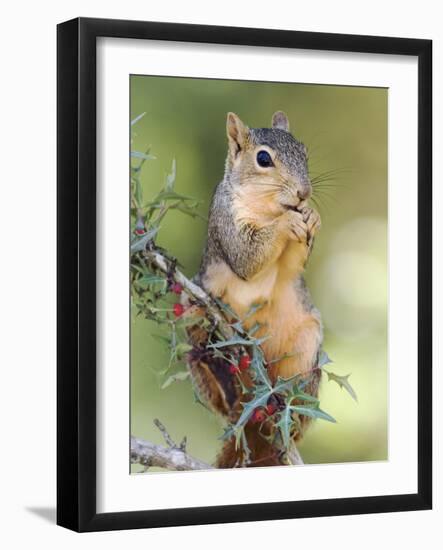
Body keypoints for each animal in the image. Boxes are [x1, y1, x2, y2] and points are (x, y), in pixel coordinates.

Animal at [186, 112, 322, 470]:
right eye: (263, 159)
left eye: (305, 152)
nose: (304, 193)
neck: (269, 208)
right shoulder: (226, 221)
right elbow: (248, 257)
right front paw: (287, 224)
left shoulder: (291, 266)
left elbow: (293, 264)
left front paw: (312, 215)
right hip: (193, 314)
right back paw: (223, 381)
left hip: (307, 346)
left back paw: (287, 408)